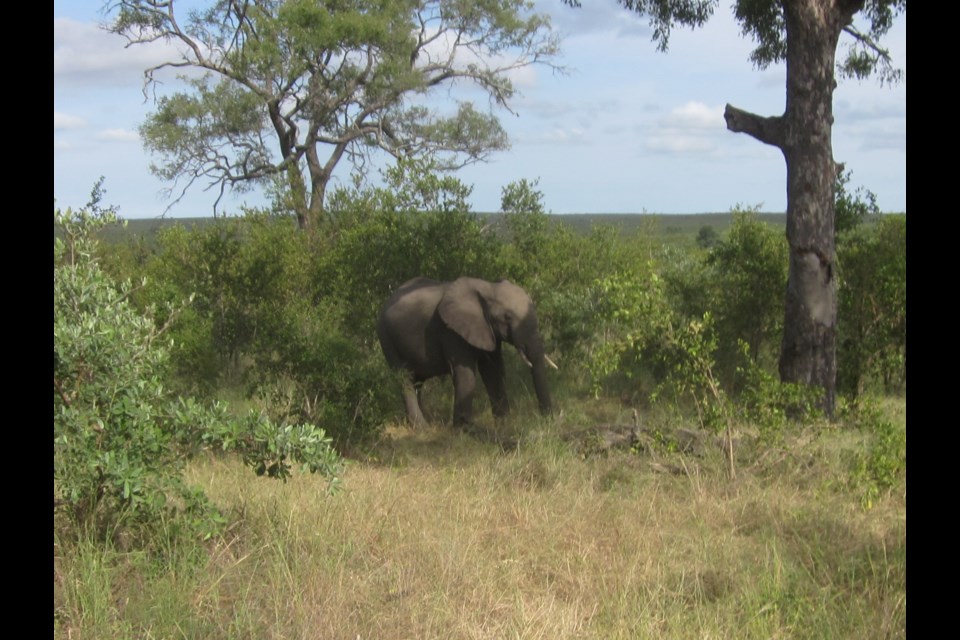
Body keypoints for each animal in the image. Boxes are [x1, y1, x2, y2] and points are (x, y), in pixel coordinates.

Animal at [376, 274, 556, 424]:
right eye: (508, 317)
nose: (545, 419)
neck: (488, 287)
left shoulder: (487, 330)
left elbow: (493, 371)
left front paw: (503, 423)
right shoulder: (451, 331)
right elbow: (466, 373)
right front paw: (463, 427)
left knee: (417, 381)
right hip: (387, 338)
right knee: (404, 378)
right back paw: (422, 428)